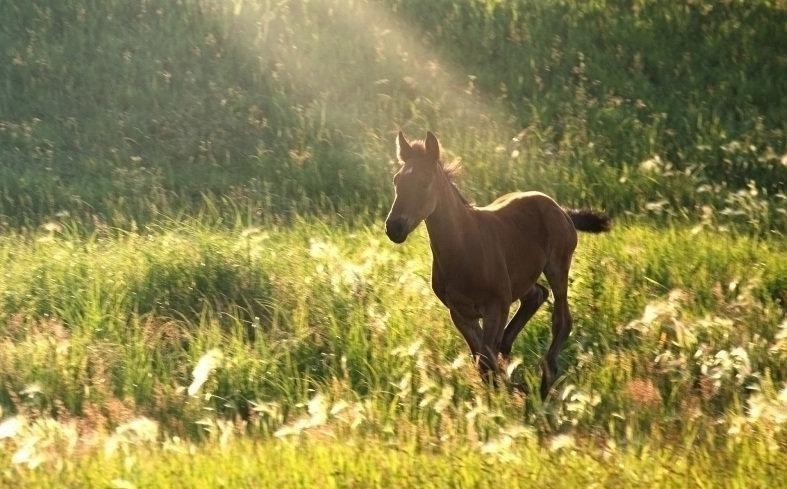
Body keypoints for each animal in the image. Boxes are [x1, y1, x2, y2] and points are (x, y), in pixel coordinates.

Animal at [384, 132, 612, 398]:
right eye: (397, 180)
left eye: (425, 182)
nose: (394, 227)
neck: (463, 249)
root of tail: (559, 208)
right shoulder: (460, 313)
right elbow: (481, 360)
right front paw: (500, 394)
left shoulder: (497, 306)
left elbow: (485, 360)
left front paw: (506, 394)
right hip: (522, 278)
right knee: (536, 295)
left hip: (557, 266)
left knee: (562, 319)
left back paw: (545, 381)